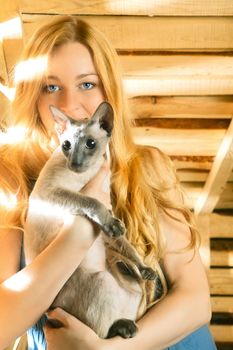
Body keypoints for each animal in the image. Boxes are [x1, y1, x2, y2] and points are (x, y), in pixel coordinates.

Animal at [23, 101, 162, 340]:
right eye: (66, 145)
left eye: (90, 144)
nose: (75, 163)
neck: (87, 173)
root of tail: (50, 313)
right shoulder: (51, 194)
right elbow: (90, 201)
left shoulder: (108, 217)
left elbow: (126, 244)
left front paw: (144, 267)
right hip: (100, 281)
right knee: (100, 335)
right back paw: (124, 328)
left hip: (130, 286)